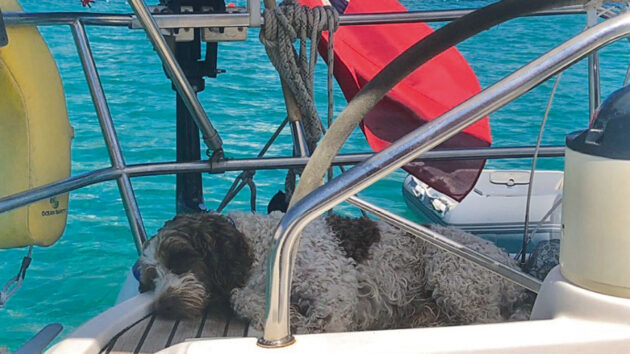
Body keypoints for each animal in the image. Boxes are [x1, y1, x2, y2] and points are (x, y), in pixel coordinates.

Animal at [138, 212, 532, 334]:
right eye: (149, 277)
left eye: (181, 259)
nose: (163, 307)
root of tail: (512, 264)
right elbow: (243, 299)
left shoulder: (334, 286)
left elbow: (325, 321)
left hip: (451, 272)